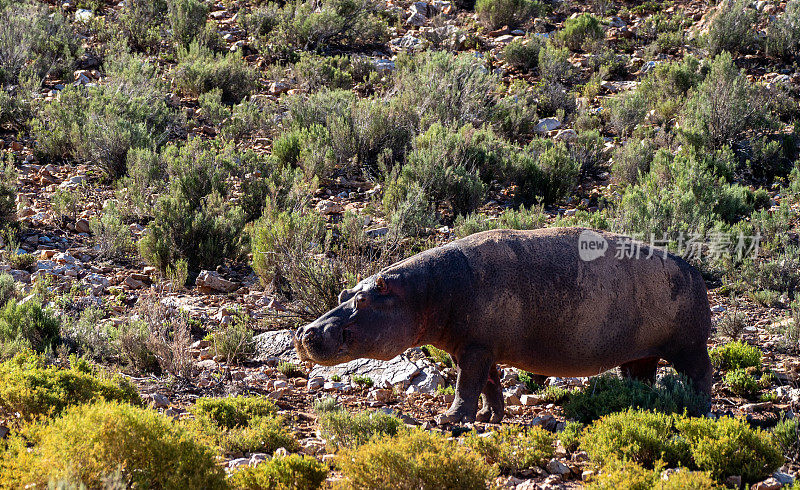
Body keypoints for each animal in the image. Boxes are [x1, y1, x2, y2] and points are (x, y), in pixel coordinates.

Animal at [294, 228, 712, 424]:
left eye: (363, 301)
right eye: (344, 292)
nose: (303, 332)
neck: (424, 293)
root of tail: (695, 270)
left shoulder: (475, 348)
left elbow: (466, 385)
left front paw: (449, 420)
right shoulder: (475, 347)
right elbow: (489, 385)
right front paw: (487, 418)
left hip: (688, 346)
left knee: (701, 375)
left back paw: (698, 409)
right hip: (640, 354)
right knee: (642, 377)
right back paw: (640, 404)